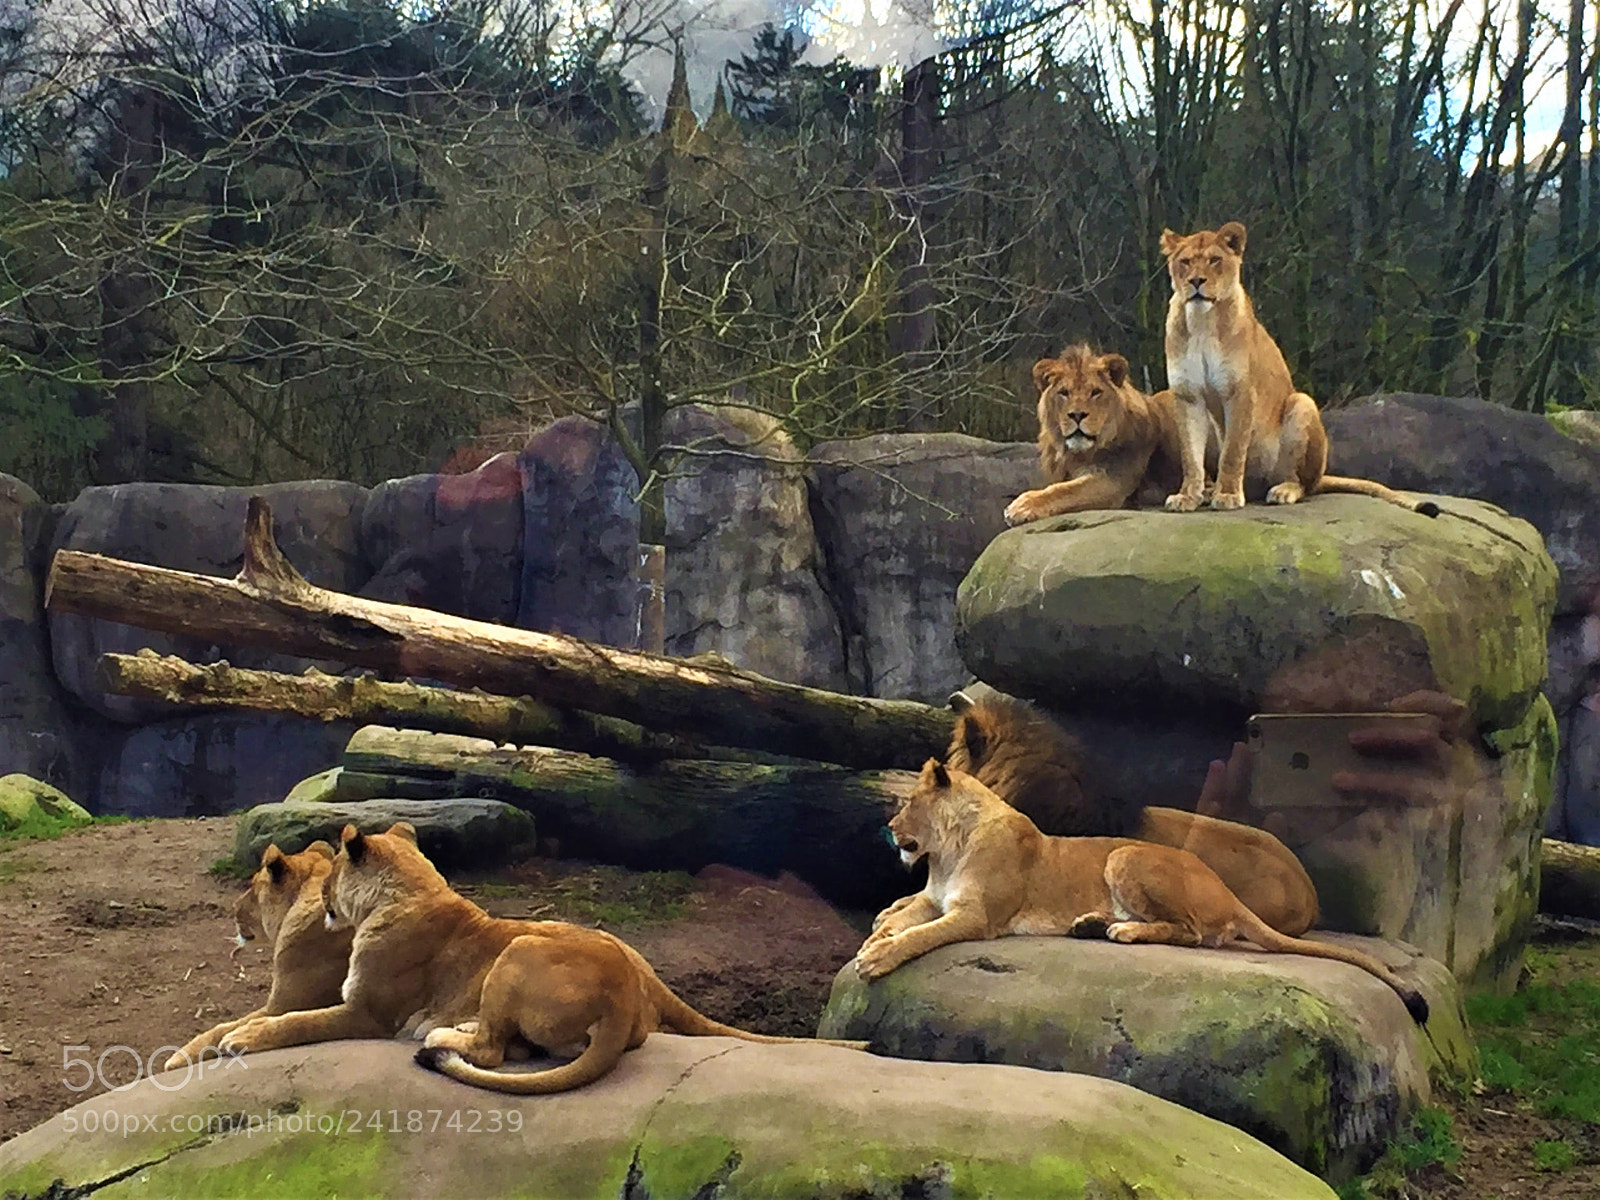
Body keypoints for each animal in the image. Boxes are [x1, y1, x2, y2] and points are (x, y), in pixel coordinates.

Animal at [215, 823, 867, 1094]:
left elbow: (292, 1022)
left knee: (492, 1051)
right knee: (512, 1049)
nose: (324, 900)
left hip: (520, 945)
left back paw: (442, 1036)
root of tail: (624, 994)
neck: (410, 890)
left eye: (328, 880)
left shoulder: (367, 1013)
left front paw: (238, 1041)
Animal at [854, 759, 1429, 1024]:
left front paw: (877, 957)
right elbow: (904, 918)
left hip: (1125, 855)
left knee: (1193, 933)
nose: (888, 827)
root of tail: (1225, 890)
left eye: (908, 804)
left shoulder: (977, 915)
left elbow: (922, 937)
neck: (949, 849)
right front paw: (876, 937)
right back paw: (1092, 924)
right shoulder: (934, 899)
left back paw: (1121, 932)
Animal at [1004, 345, 1188, 526]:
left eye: (1095, 392)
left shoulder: (1114, 480)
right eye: (1064, 392)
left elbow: (1065, 490)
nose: (1077, 415)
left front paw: (1022, 505)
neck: (1077, 454)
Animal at [1159, 221, 1437, 516]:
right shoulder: (1187, 395)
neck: (1201, 321)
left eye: (1214, 260)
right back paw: (1210, 490)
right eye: (1185, 262)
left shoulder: (1240, 392)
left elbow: (1233, 452)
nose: (1196, 281)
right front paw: (1187, 496)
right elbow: (1190, 456)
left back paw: (1281, 490)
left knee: (1302, 482)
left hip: (1302, 403)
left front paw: (1228, 495)